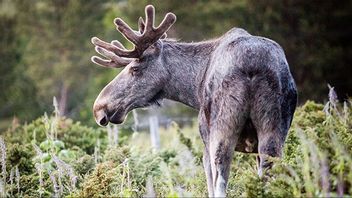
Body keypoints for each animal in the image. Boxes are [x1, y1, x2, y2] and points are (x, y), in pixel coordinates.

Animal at [91, 4, 296, 196]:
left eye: (135, 68)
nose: (99, 107)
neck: (194, 88)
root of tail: (253, 65)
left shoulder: (205, 142)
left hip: (221, 132)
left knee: (220, 185)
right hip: (273, 135)